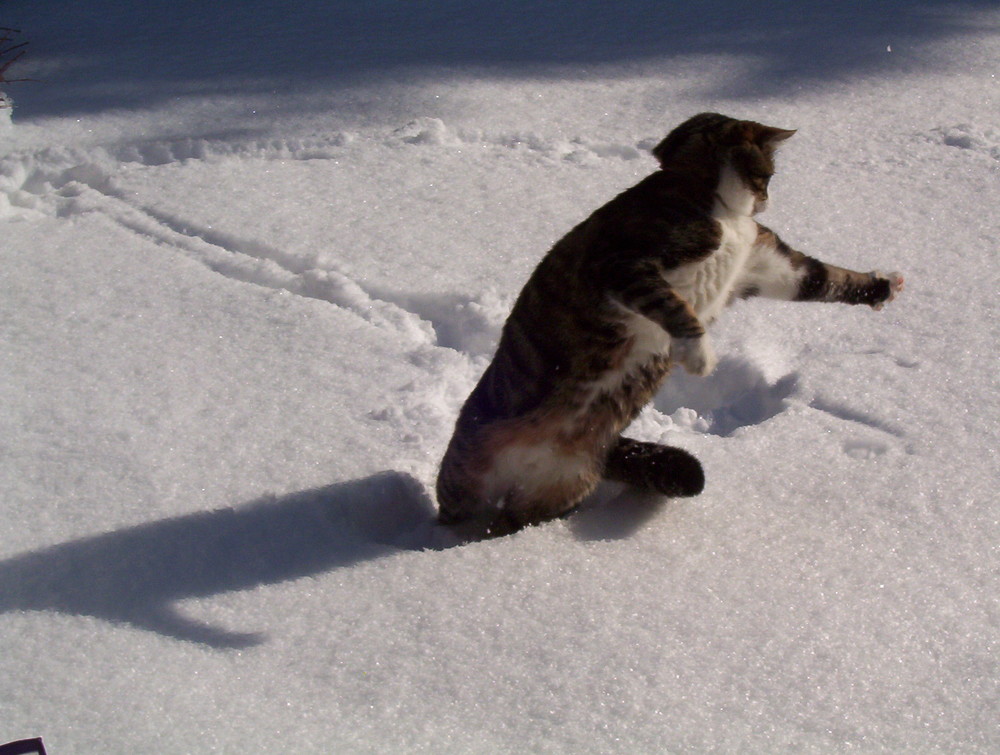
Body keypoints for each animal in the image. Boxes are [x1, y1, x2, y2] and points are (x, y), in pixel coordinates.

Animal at [434, 112, 904, 536]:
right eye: (767, 173)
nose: (767, 199)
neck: (720, 212)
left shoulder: (767, 266)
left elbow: (827, 278)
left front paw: (881, 287)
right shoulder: (624, 265)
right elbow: (674, 305)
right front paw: (699, 353)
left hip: (558, 488)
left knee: (512, 521)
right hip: (465, 472)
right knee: (456, 513)